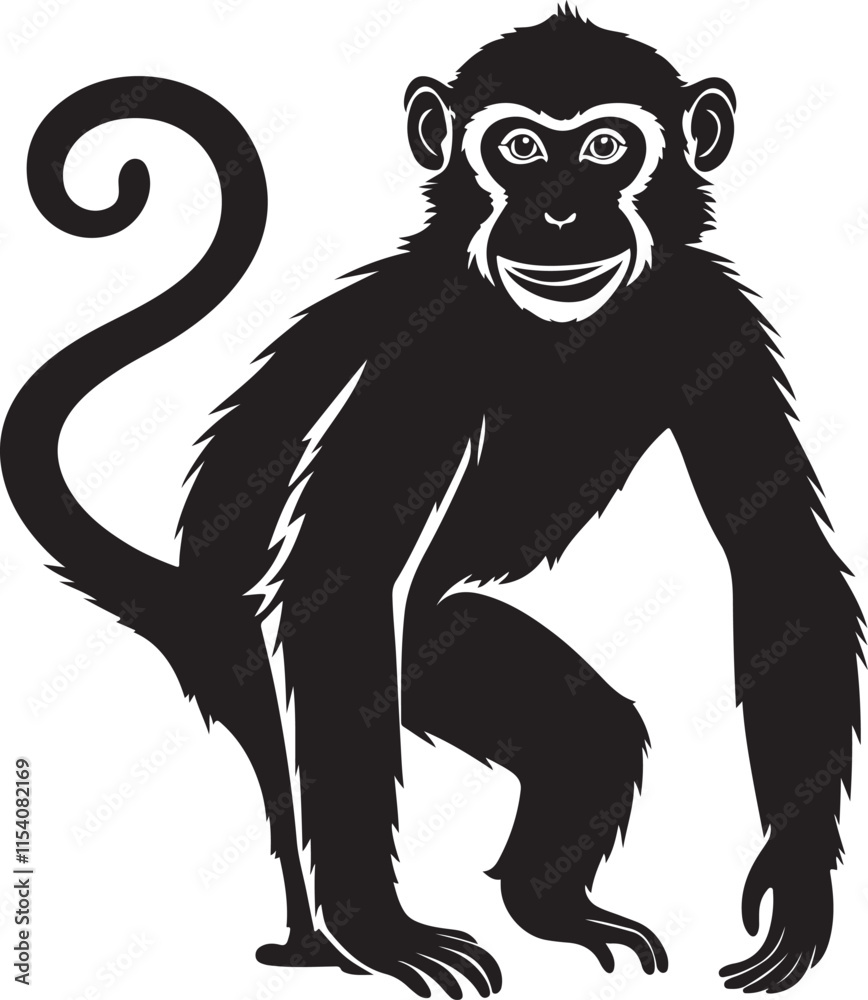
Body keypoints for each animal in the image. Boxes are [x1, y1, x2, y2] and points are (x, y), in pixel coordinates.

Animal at [3, 8, 863, 997]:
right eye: (519, 147)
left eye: (606, 146)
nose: (559, 211)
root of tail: (199, 602)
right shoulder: (429, 348)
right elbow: (344, 570)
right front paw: (375, 926)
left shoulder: (714, 317)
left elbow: (776, 558)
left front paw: (798, 880)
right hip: (371, 657)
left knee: (588, 736)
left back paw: (546, 906)